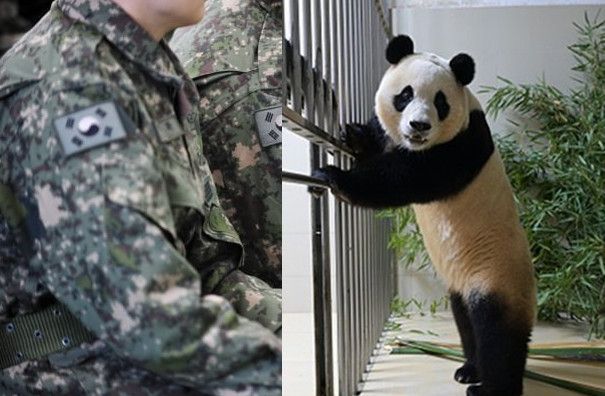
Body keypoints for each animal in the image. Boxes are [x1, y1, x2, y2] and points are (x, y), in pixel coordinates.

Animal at [314, 35, 536, 394]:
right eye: (405, 95)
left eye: (440, 101)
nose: (419, 125)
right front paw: (357, 135)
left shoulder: (463, 144)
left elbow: (405, 179)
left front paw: (334, 177)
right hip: (463, 282)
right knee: (466, 323)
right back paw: (469, 370)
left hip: (498, 274)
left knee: (497, 335)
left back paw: (488, 386)